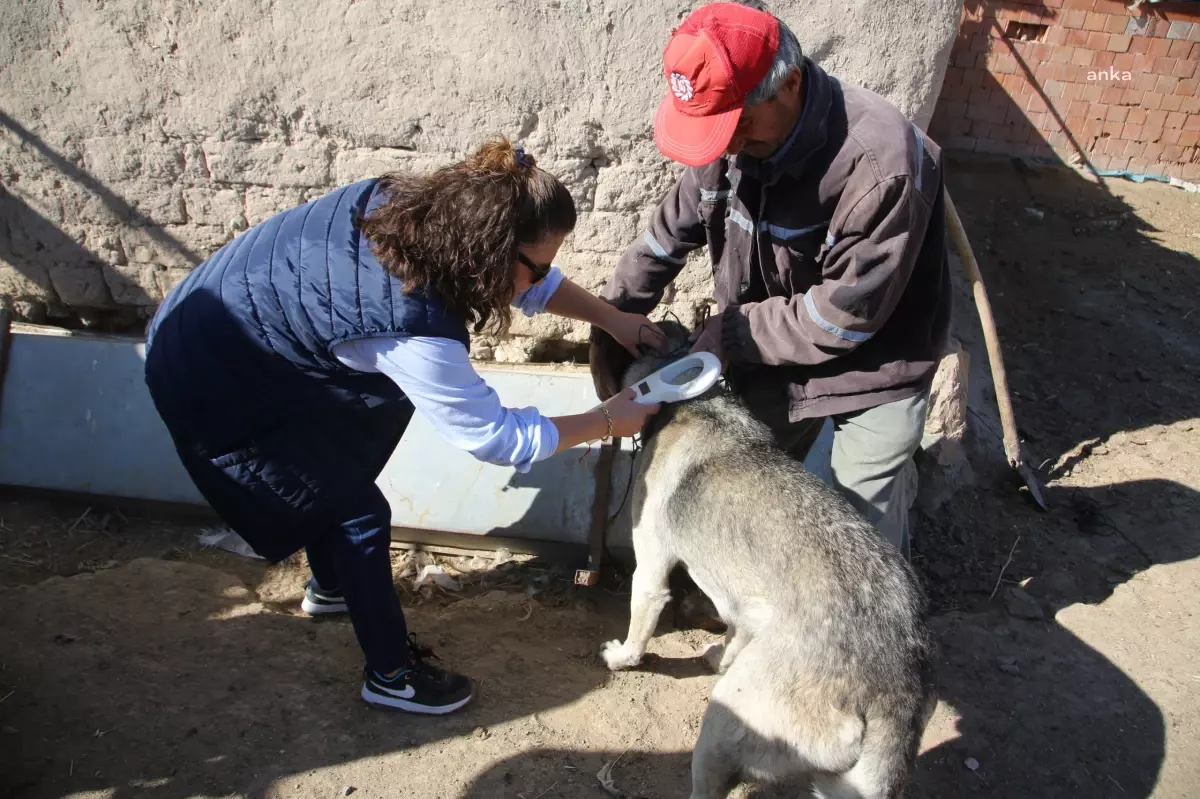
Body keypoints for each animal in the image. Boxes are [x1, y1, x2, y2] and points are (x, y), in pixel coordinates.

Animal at [590, 321, 936, 791]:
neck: (697, 400)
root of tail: (897, 682)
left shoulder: (650, 572)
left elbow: (638, 632)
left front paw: (621, 658)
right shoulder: (745, 604)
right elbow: (734, 632)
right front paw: (720, 654)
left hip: (721, 723)